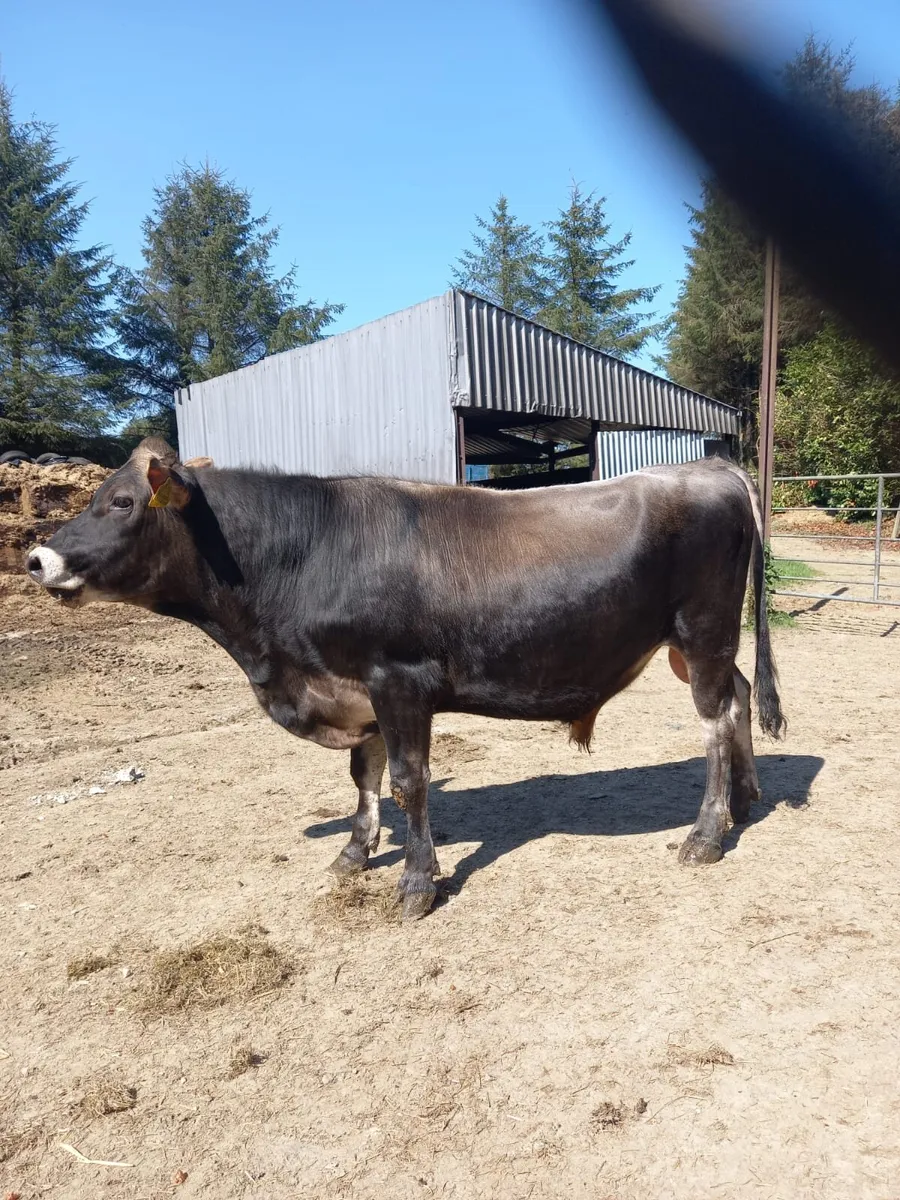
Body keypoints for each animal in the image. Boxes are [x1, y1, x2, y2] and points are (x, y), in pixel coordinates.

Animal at [26, 439, 784, 919]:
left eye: (122, 502)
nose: (36, 558)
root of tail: (709, 464)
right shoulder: (354, 686)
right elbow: (362, 774)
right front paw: (354, 853)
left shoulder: (399, 679)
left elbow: (407, 781)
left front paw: (417, 883)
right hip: (701, 642)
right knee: (740, 698)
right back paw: (746, 801)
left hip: (703, 629)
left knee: (713, 721)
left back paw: (706, 834)